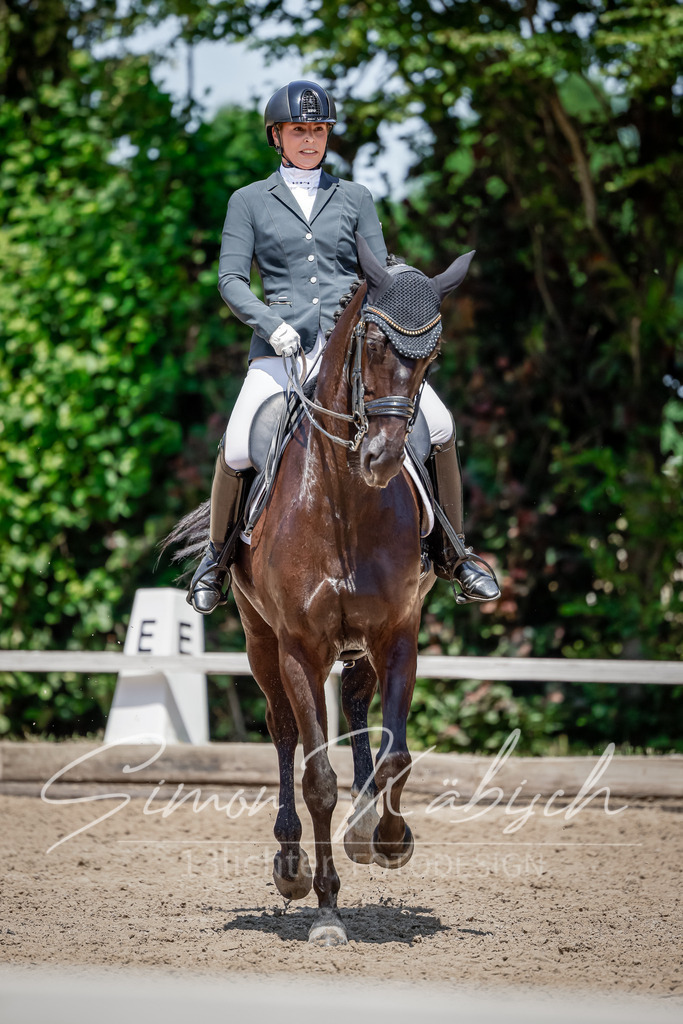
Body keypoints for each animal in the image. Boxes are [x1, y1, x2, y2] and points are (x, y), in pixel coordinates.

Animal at [168, 236, 475, 945]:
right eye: (373, 342)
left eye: (434, 353)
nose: (382, 459)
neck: (344, 500)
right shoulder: (301, 648)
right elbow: (317, 779)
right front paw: (327, 909)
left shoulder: (398, 633)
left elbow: (397, 755)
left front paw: (385, 837)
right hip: (261, 643)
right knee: (283, 733)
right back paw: (289, 865)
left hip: (357, 643)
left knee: (358, 704)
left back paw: (364, 824)